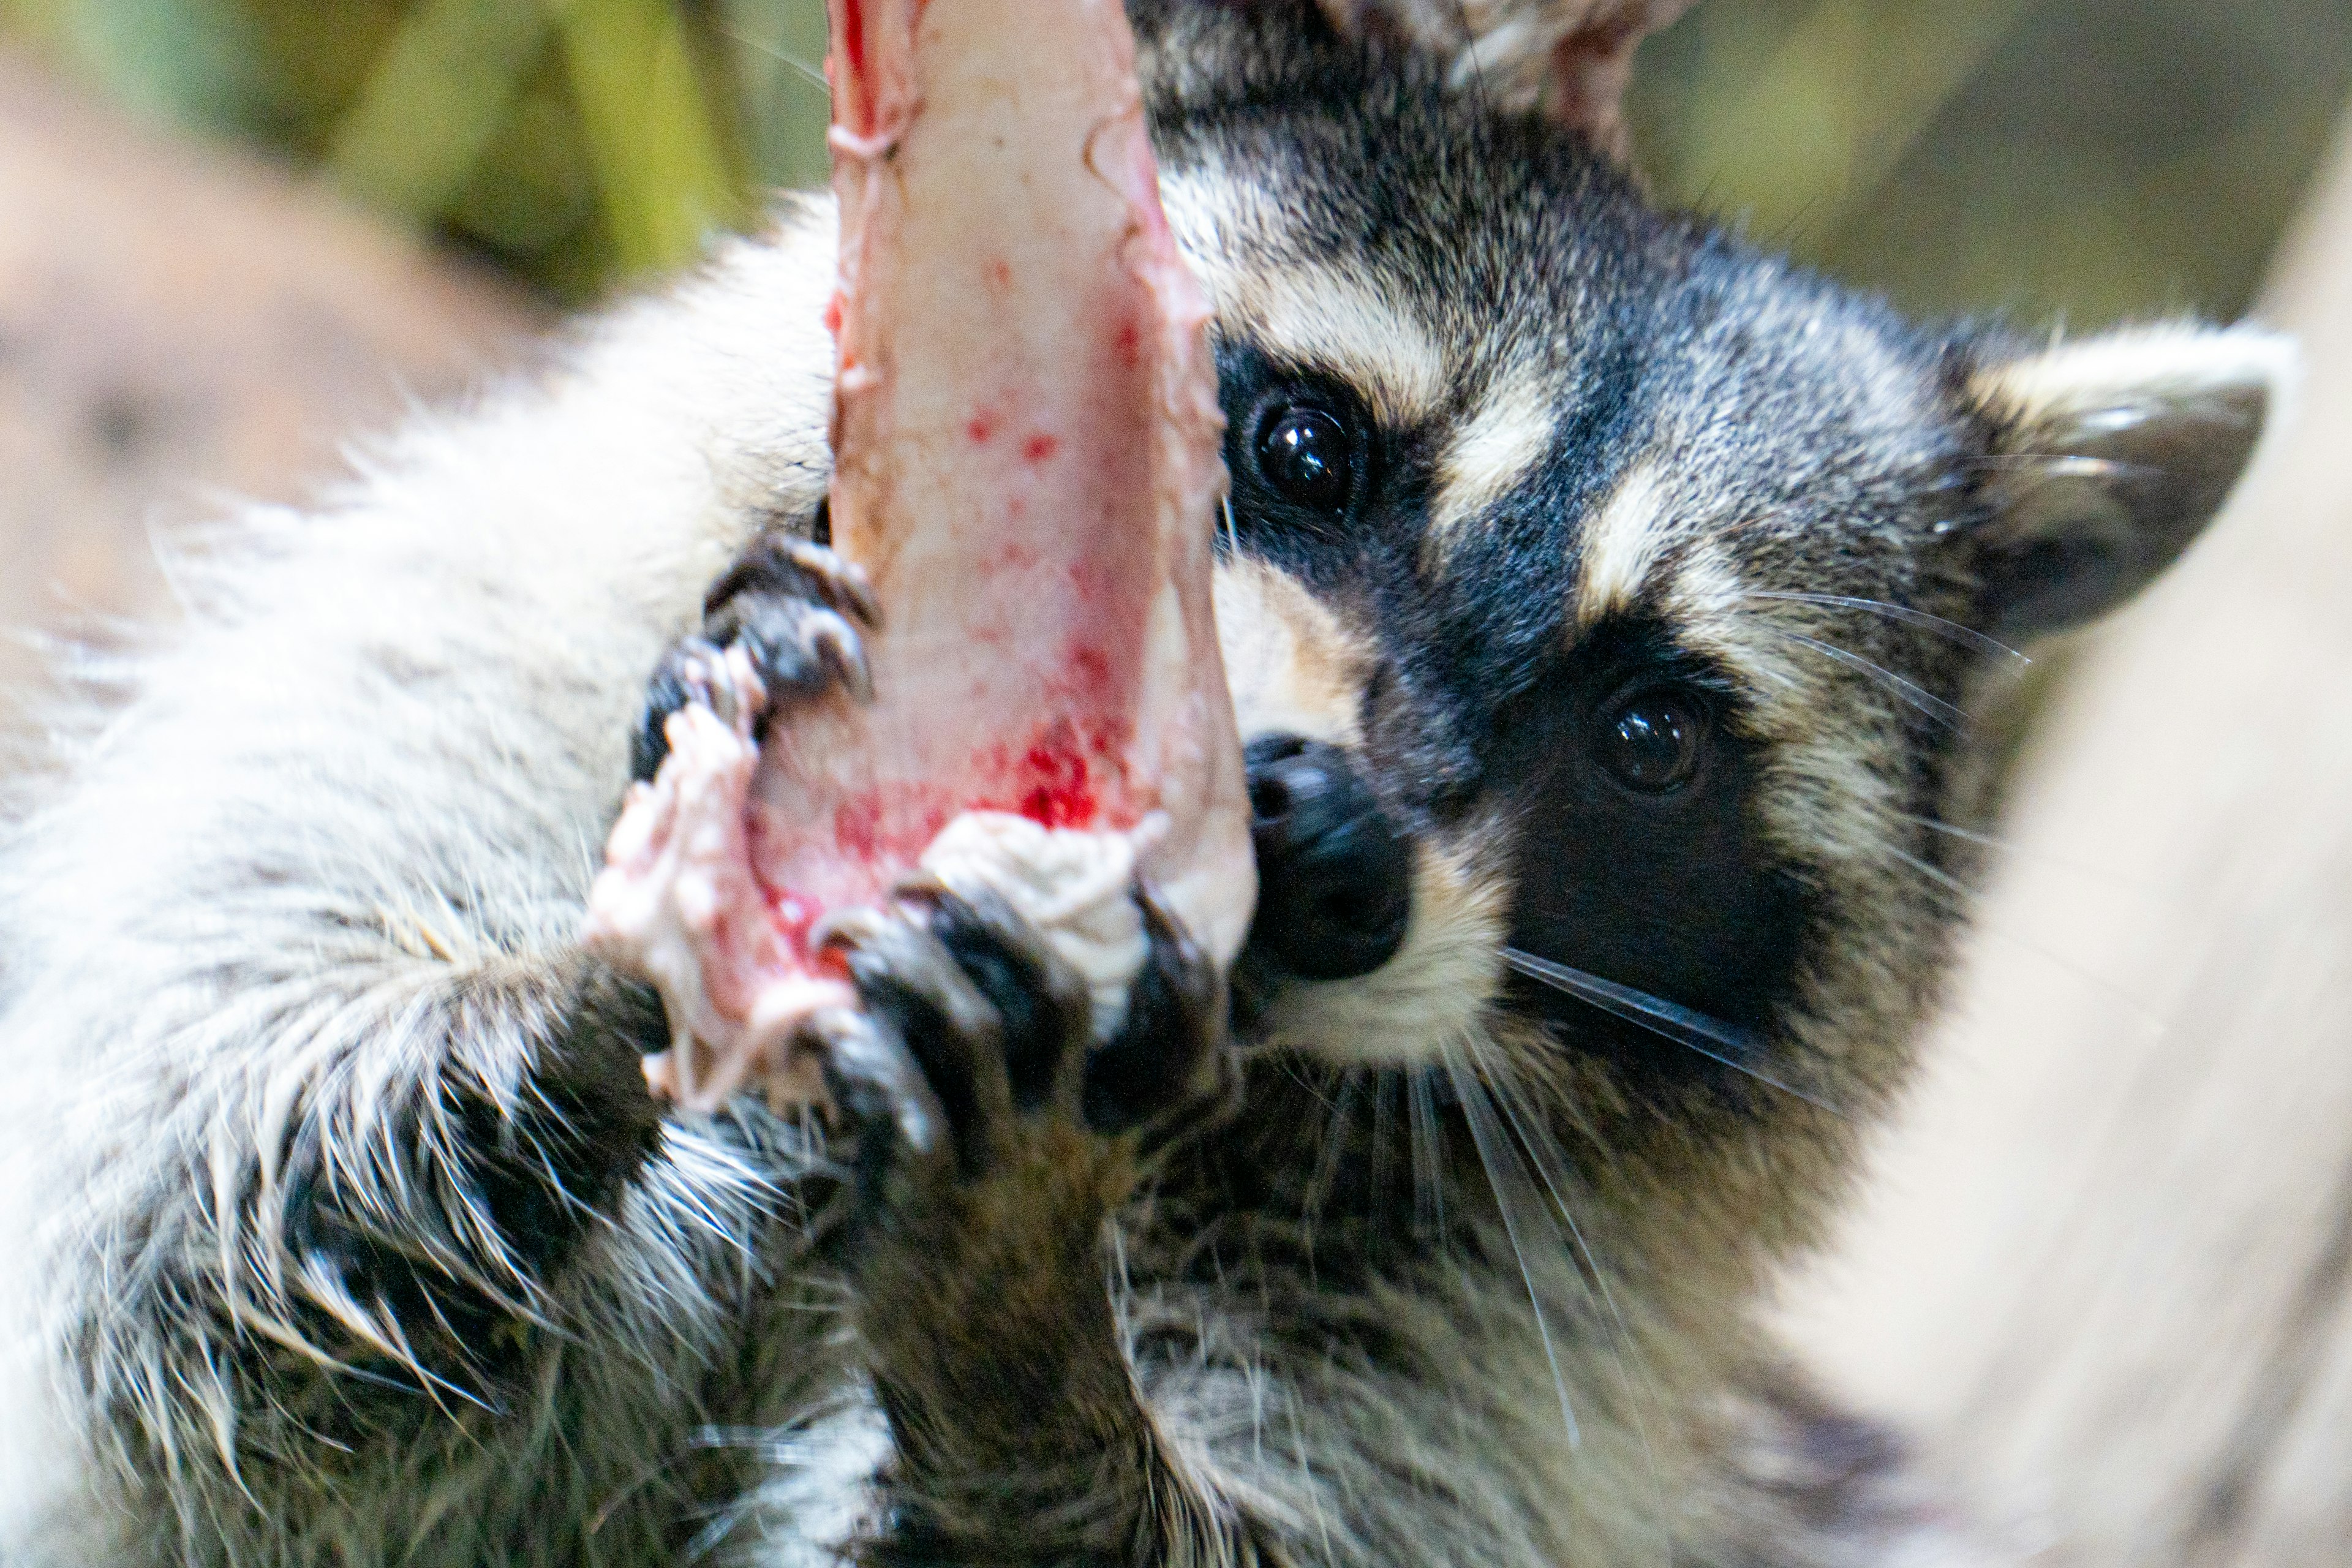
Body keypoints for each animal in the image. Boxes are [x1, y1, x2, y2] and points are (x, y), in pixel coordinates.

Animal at [0, 3, 2286, 1568]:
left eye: (1648, 741)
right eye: (1302, 451)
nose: (1319, 853)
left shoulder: (1483, 1377)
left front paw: (1026, 1354)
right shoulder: (440, 682)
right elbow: (197, 1258)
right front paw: (605, 986)